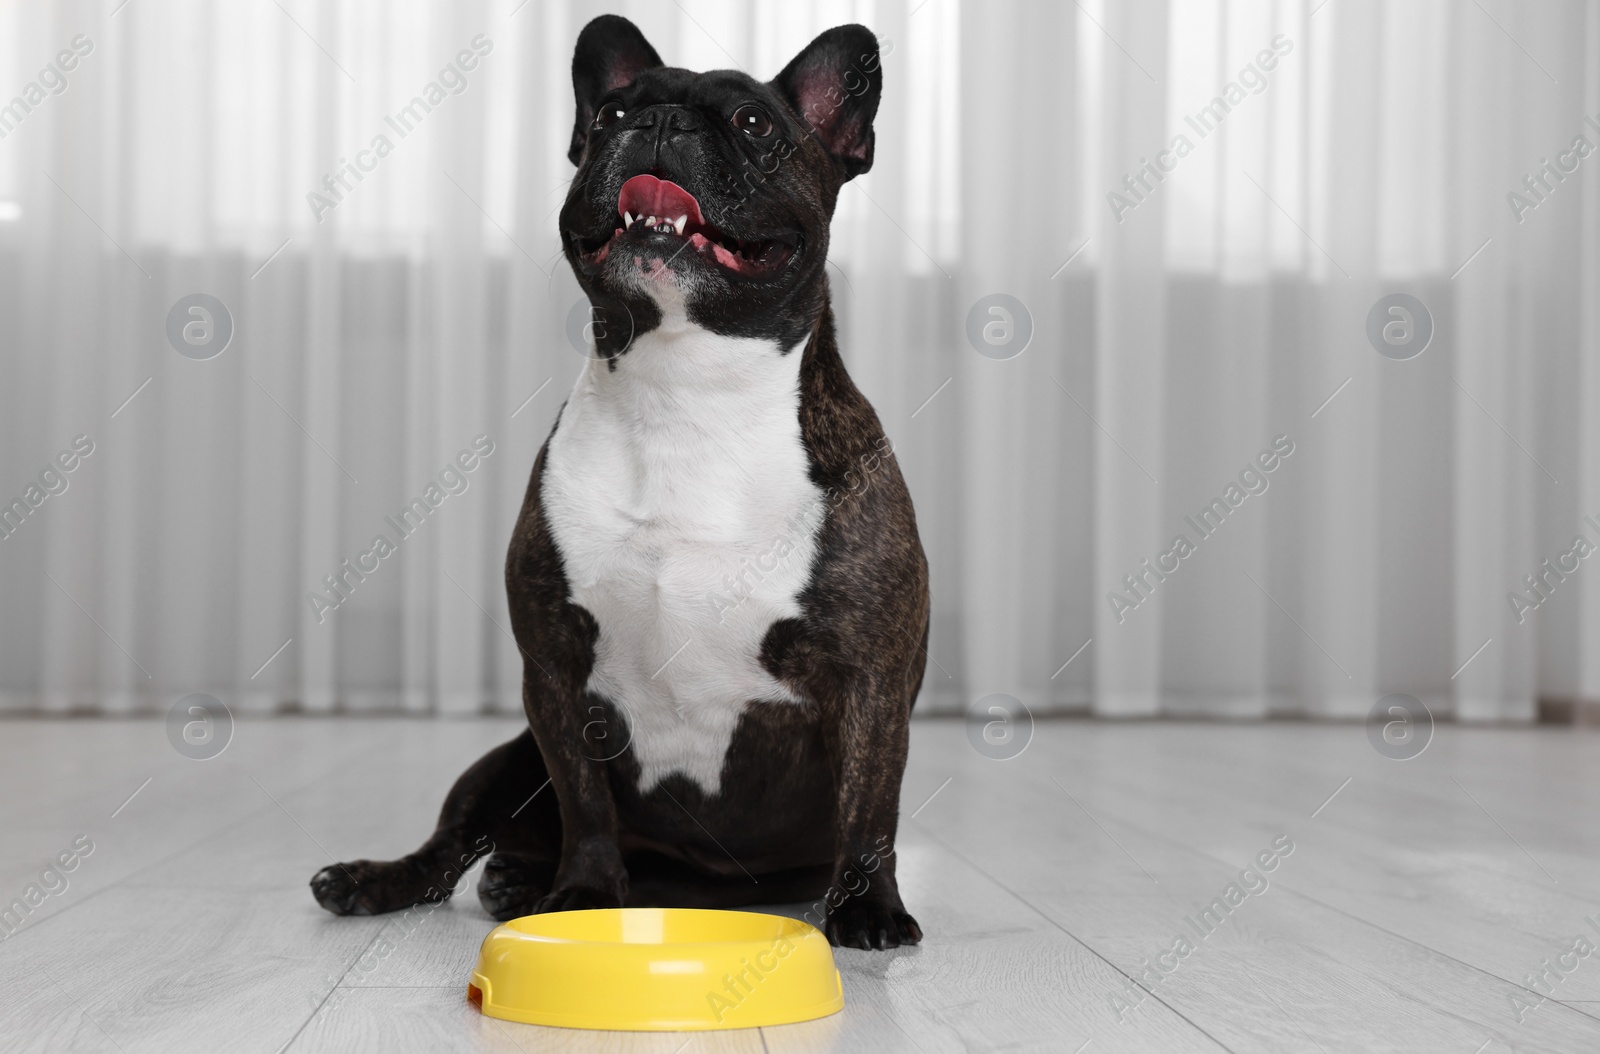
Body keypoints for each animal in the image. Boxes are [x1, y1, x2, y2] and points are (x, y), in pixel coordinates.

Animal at [310, 14, 928, 959]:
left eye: (754, 125)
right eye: (610, 115)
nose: (659, 123)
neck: (687, 389)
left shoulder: (871, 680)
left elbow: (872, 803)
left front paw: (868, 909)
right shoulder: (556, 675)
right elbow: (587, 804)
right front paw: (586, 896)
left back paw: (521, 879)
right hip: (504, 761)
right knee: (452, 845)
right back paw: (409, 880)